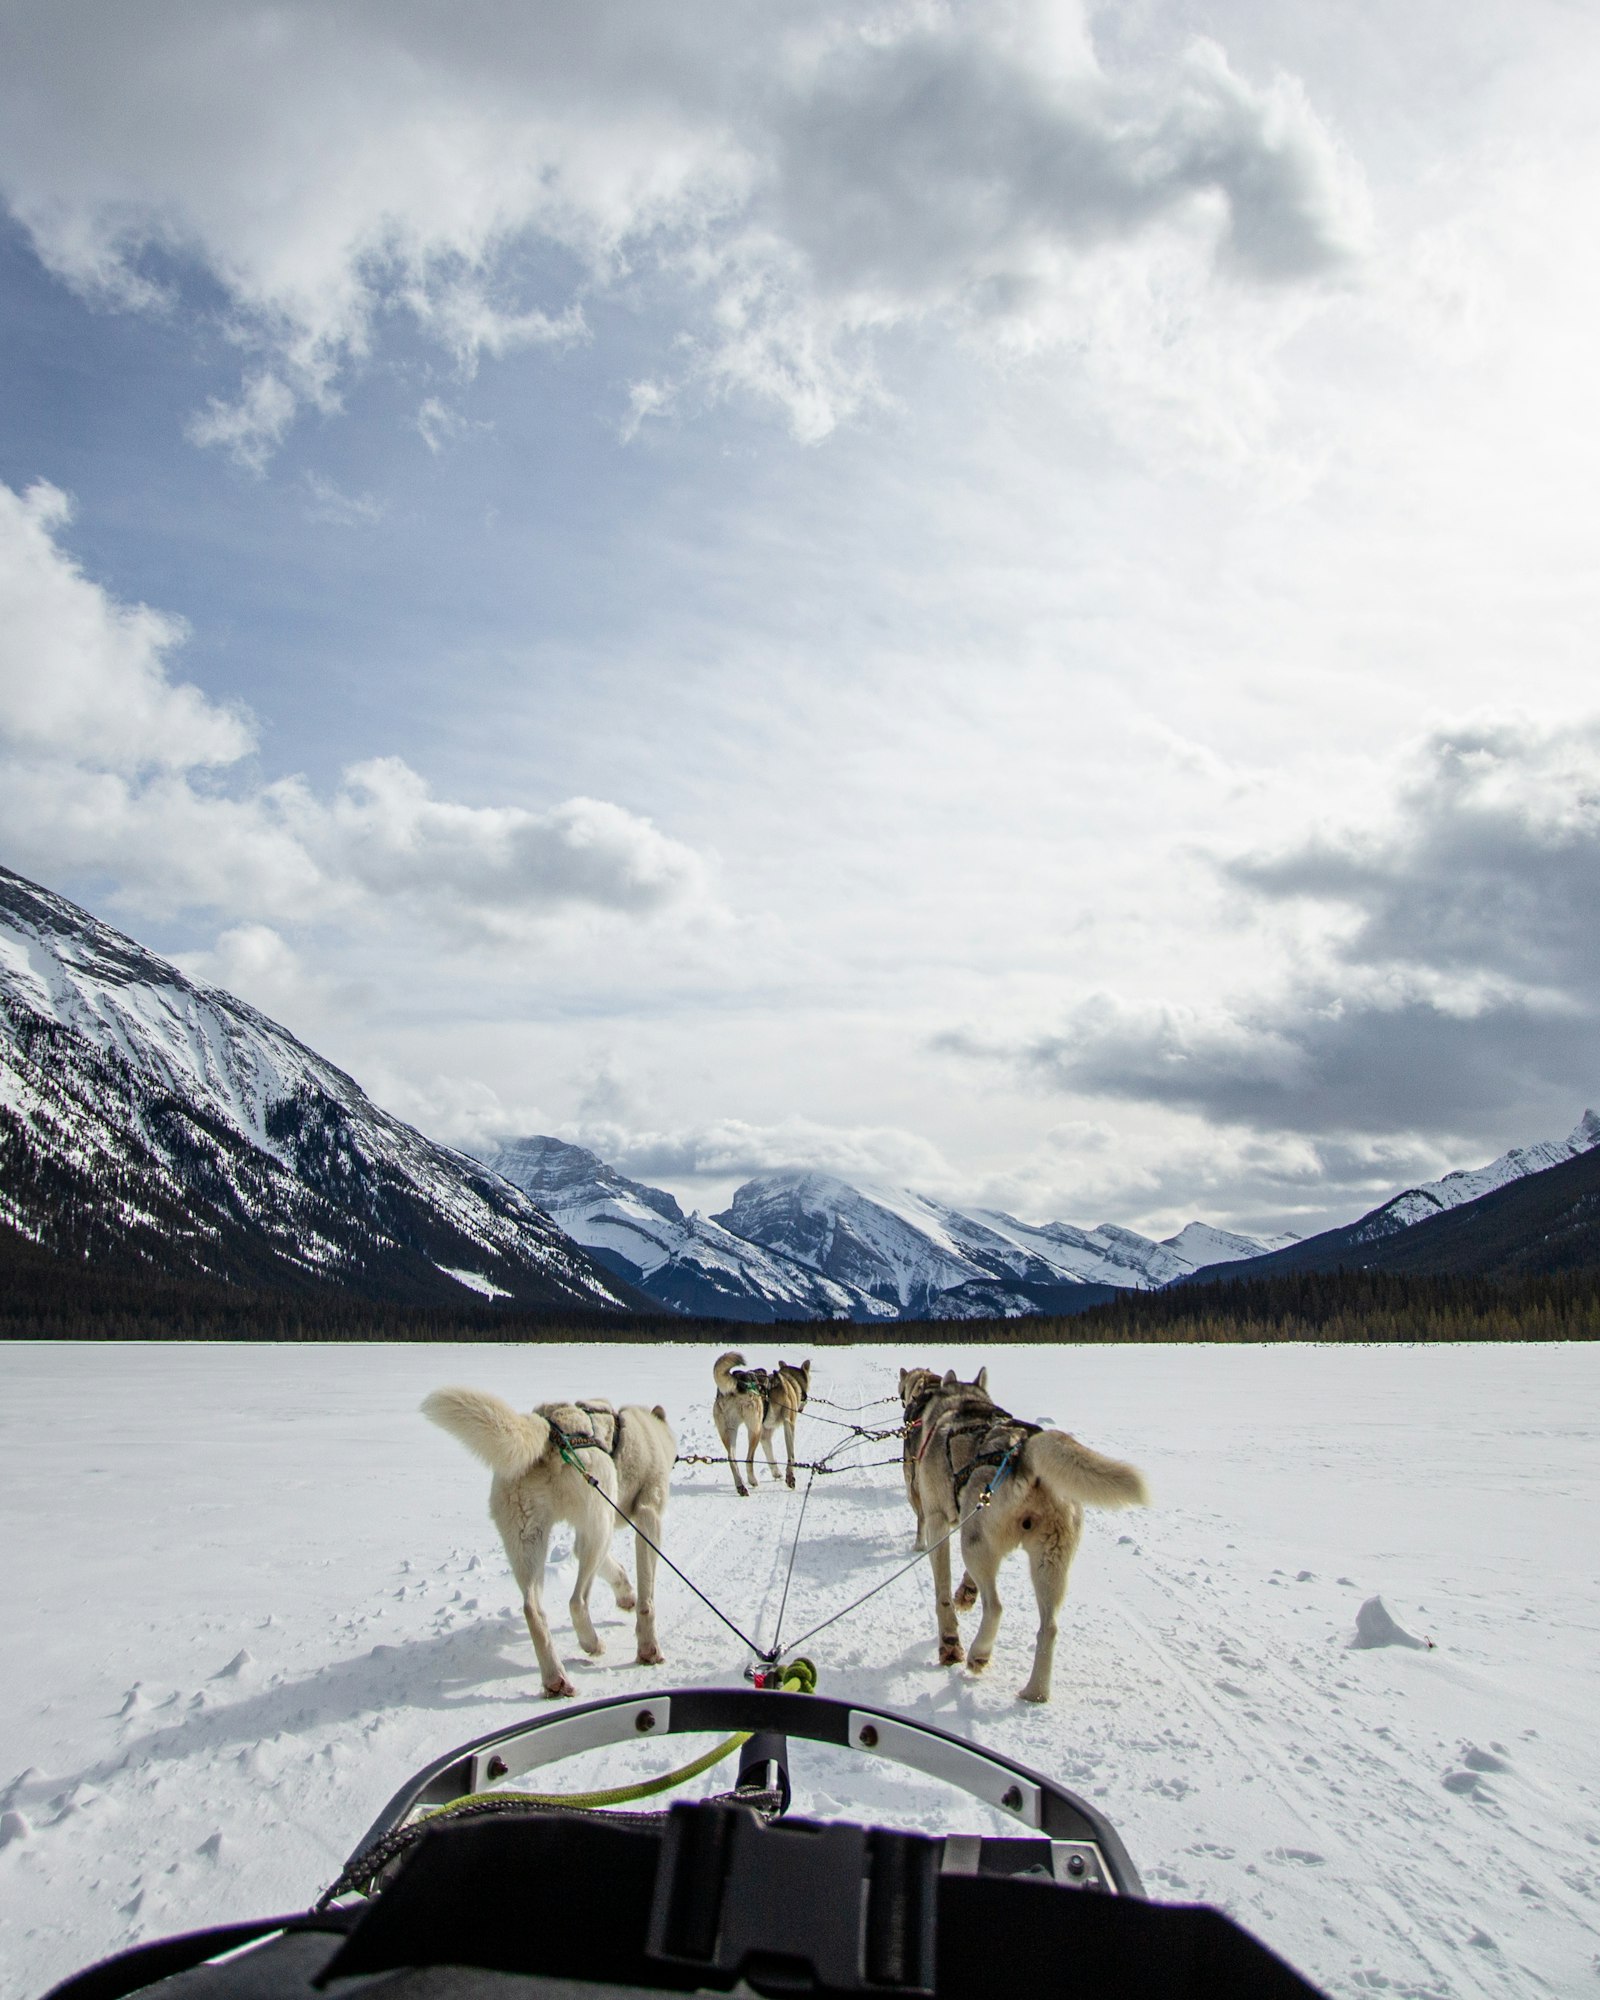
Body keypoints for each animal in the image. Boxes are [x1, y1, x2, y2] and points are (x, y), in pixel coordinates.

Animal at [418, 1392, 676, 1704]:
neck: (647, 1433)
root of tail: (550, 1431)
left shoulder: (584, 1535)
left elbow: (616, 1570)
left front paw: (626, 1595)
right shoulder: (649, 1518)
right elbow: (647, 1599)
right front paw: (648, 1649)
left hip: (530, 1541)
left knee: (533, 1610)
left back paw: (556, 1679)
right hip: (599, 1525)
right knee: (577, 1601)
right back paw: (591, 1643)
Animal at [712, 1352, 812, 1496]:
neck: (790, 1382)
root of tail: (738, 1381)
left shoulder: (766, 1435)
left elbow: (771, 1457)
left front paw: (776, 1473)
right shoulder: (789, 1423)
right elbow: (791, 1455)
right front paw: (790, 1477)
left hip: (730, 1431)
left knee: (732, 1458)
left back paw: (741, 1485)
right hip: (755, 1430)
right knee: (748, 1459)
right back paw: (752, 1480)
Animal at [900, 1376, 1152, 1704]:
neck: (959, 1403)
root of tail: (1024, 1451)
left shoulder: (937, 1521)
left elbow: (942, 1595)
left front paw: (949, 1642)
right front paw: (966, 1593)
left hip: (973, 1543)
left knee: (995, 1606)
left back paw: (978, 1653)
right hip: (1049, 1562)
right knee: (1049, 1628)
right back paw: (1035, 1691)